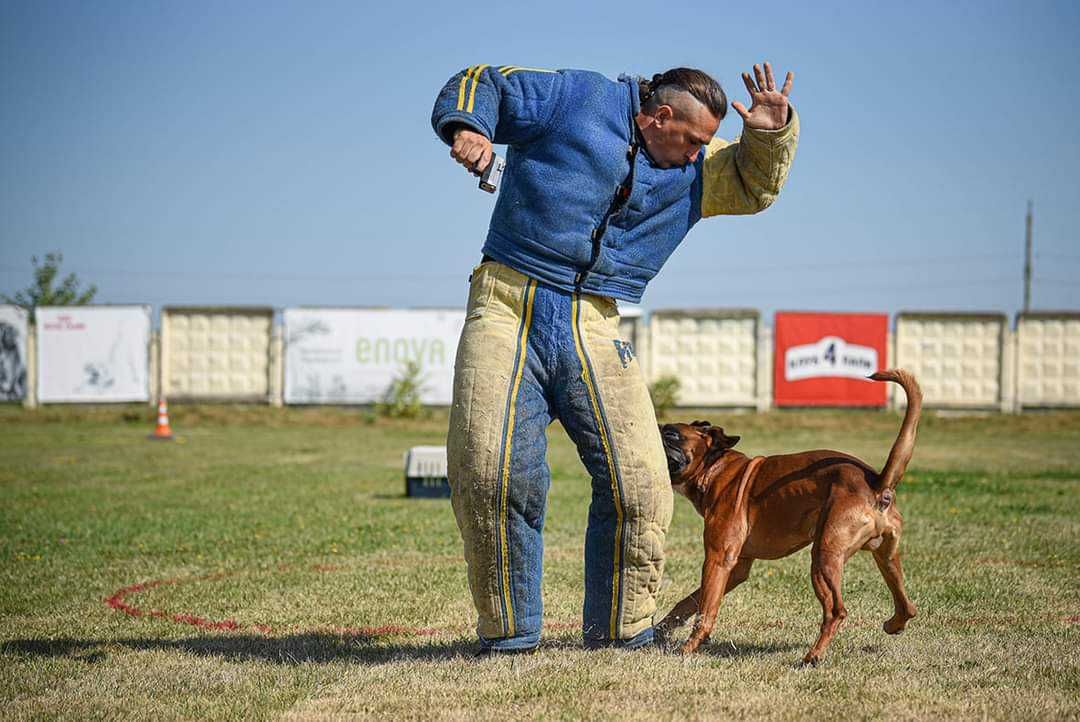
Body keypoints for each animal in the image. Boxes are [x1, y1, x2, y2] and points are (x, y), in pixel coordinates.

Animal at [652, 369, 924, 660]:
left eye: (671, 434)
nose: (653, 428)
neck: (715, 468)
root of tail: (877, 483)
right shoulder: (737, 568)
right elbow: (687, 602)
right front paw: (661, 629)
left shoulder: (718, 560)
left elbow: (705, 610)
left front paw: (688, 647)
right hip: (886, 557)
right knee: (907, 606)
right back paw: (894, 624)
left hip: (824, 558)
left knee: (836, 611)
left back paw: (812, 657)